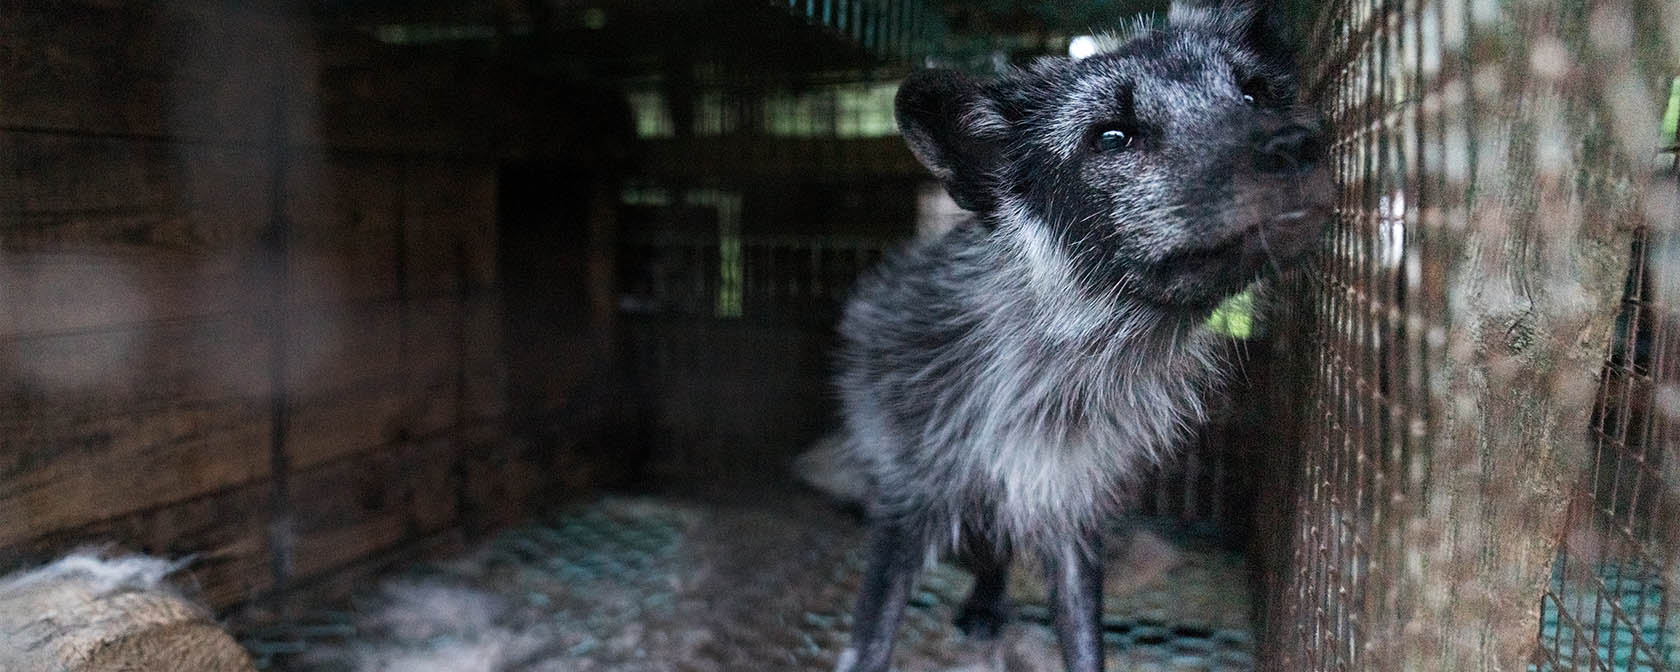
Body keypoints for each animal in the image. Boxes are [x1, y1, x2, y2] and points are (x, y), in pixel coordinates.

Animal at [833, 2, 1330, 668]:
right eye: (1112, 137)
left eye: (1255, 94)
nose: (1296, 143)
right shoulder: (908, 499)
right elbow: (870, 637)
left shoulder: (1072, 505)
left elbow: (1085, 639)